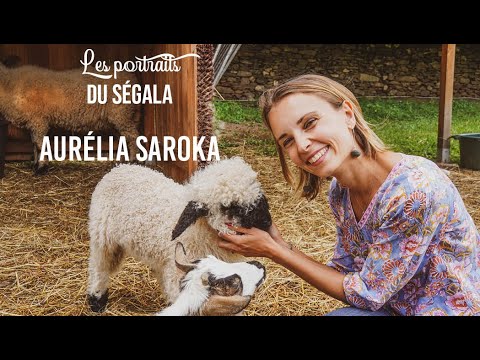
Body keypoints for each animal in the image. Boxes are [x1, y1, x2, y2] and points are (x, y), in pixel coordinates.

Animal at [87, 158, 272, 316]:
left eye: (258, 193)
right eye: (229, 206)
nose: (267, 222)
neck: (201, 231)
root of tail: (121, 168)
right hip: (102, 235)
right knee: (99, 267)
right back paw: (96, 300)